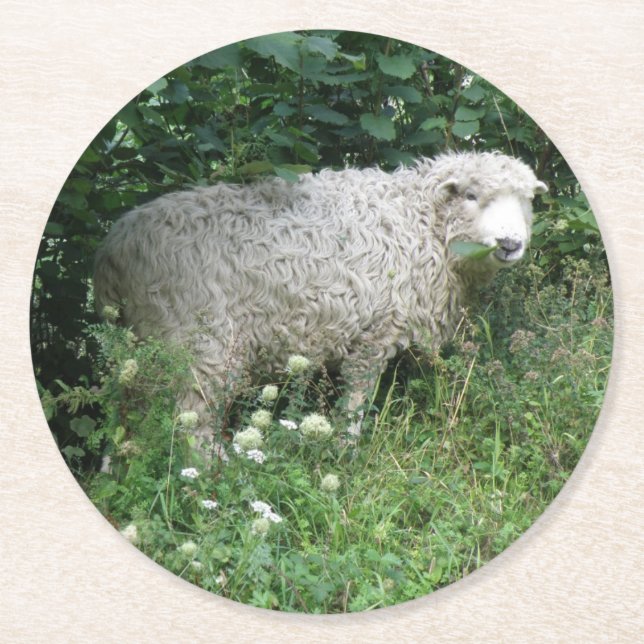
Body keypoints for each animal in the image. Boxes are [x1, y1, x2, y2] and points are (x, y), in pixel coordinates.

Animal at [94, 150, 547, 446]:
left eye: (527, 200)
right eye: (471, 195)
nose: (510, 244)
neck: (418, 222)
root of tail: (114, 250)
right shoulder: (374, 334)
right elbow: (355, 403)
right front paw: (346, 453)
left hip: (134, 346)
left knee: (122, 414)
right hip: (199, 342)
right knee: (191, 423)